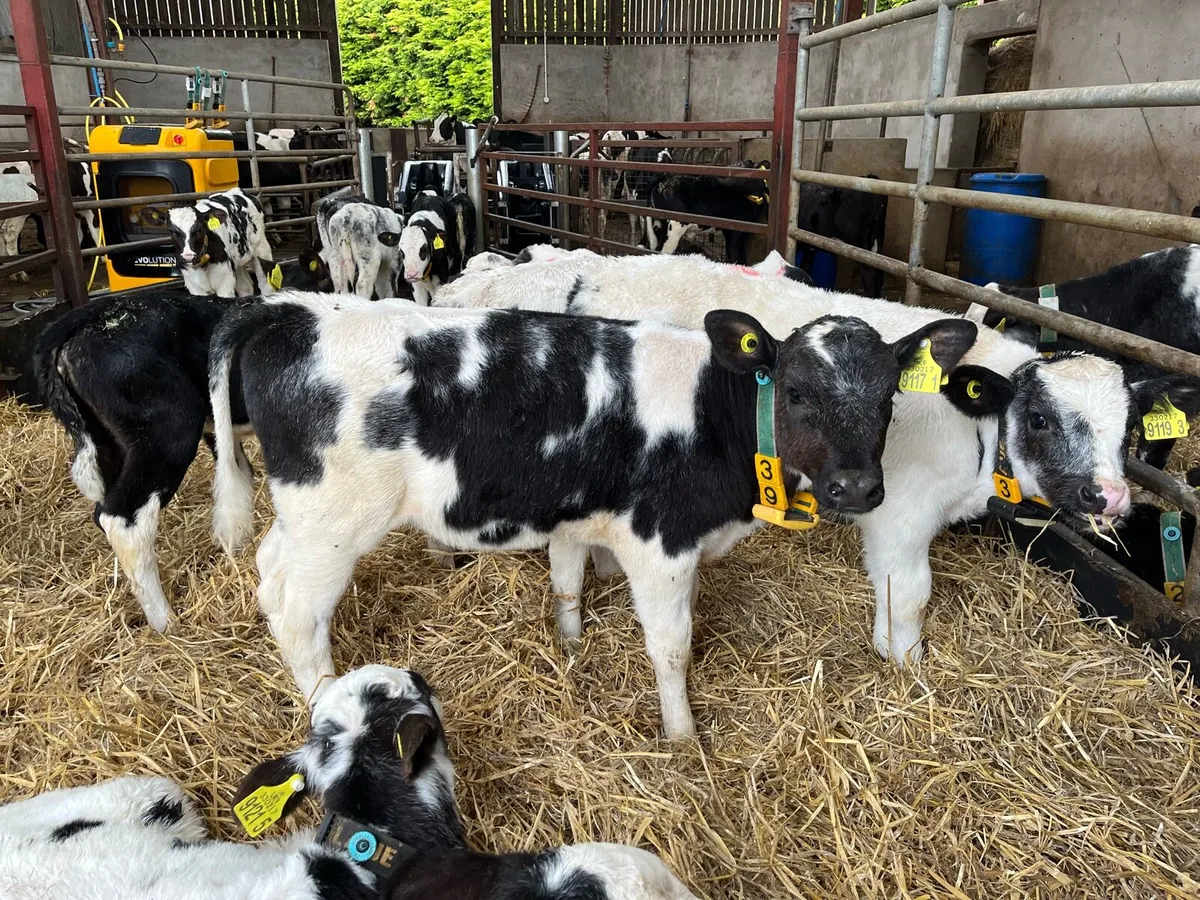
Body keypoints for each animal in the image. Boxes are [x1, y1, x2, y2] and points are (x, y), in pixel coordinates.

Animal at [139, 187, 274, 299]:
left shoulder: (225, 282)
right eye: (171, 231)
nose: (188, 257)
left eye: (199, 229)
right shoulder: (194, 286)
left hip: (262, 249)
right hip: (238, 259)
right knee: (245, 286)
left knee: (265, 283)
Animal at [208, 294, 978, 737]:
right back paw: (322, 702)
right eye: (795, 392)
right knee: (292, 606)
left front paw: (570, 643)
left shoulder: (584, 516)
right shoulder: (661, 541)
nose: (857, 487)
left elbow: (567, 577)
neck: (717, 414)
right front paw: (681, 732)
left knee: (269, 571)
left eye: (889, 396)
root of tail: (288, 313)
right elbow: (671, 646)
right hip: (333, 523)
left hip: (308, 519)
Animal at [432, 250, 1200, 666]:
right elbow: (909, 594)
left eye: (1127, 433)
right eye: (1040, 418)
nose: (1109, 497)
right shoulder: (900, 515)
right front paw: (905, 661)